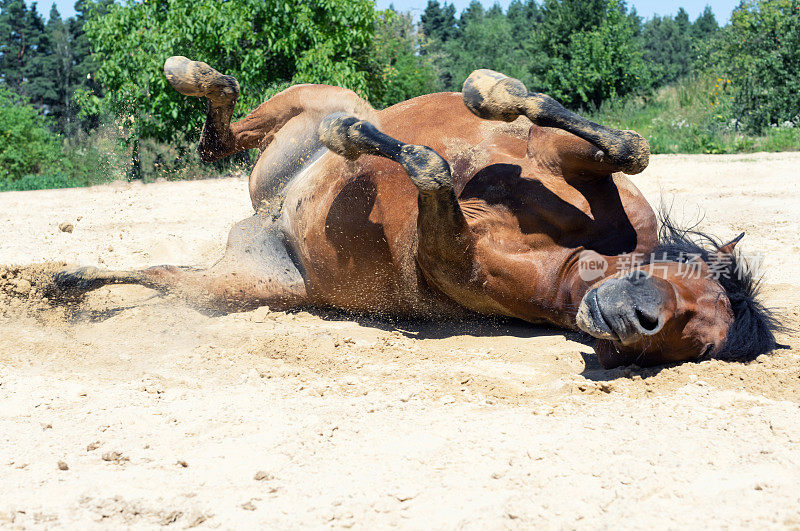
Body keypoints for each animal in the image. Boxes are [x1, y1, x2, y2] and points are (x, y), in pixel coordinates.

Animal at [56, 56, 780, 368]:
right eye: (692, 279)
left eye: (697, 345)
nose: (640, 320)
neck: (583, 252)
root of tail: (269, 217)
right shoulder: (558, 155)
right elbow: (626, 144)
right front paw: (491, 91)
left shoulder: (445, 253)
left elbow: (429, 167)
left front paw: (360, 140)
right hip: (309, 106)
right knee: (224, 121)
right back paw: (191, 72)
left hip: (236, 286)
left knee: (163, 275)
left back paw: (62, 284)